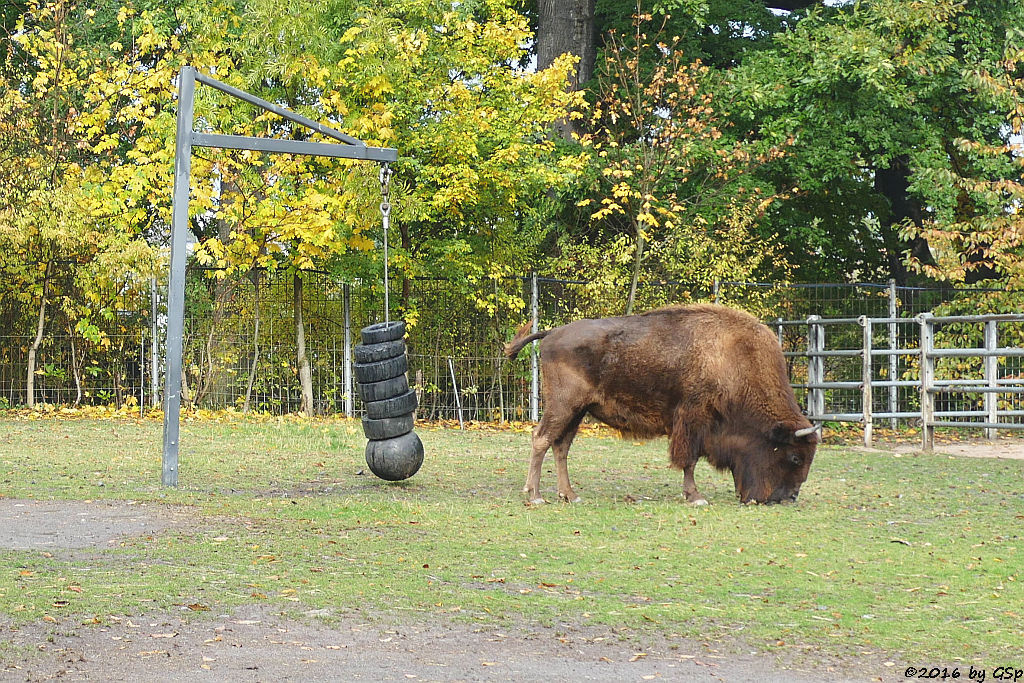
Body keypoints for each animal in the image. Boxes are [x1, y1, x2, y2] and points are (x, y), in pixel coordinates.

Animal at [499, 303, 819, 501]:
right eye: (795, 457)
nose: (788, 498)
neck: (734, 358)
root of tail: (552, 333)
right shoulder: (692, 420)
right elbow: (689, 459)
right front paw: (695, 497)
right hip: (563, 406)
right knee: (541, 439)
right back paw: (536, 496)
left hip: (577, 411)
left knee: (560, 446)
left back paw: (571, 495)